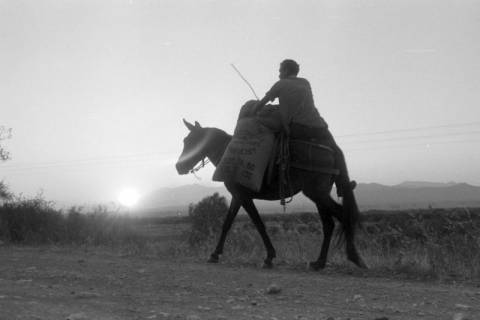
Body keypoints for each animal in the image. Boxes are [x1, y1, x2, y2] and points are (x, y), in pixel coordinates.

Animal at [176, 118, 368, 270]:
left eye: (192, 141)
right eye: (185, 140)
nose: (179, 167)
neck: (227, 152)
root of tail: (331, 150)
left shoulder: (244, 196)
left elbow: (259, 224)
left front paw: (269, 257)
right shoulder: (237, 197)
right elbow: (227, 223)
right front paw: (215, 254)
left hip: (317, 194)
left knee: (343, 215)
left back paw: (353, 257)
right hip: (319, 195)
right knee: (329, 224)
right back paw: (319, 262)